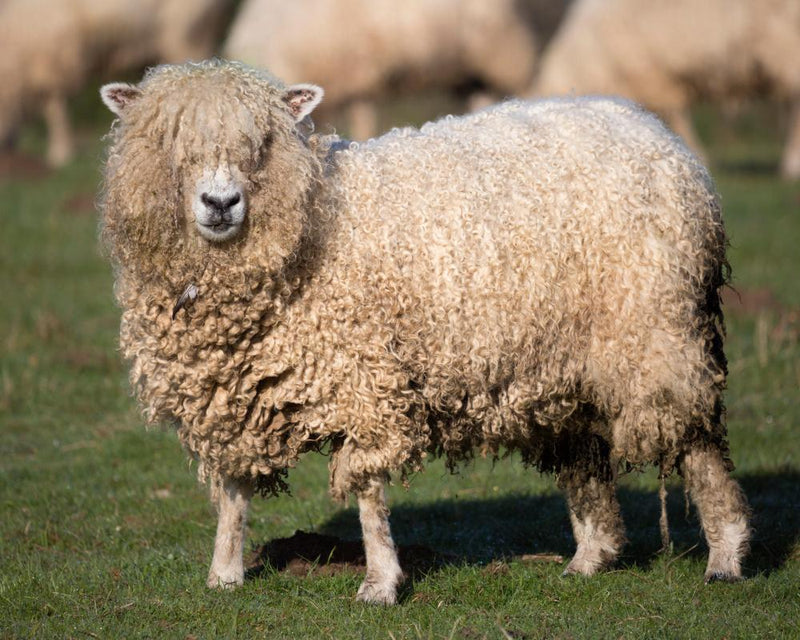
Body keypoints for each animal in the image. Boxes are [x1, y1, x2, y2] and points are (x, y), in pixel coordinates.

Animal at [99, 59, 750, 604]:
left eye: (262, 145)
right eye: (167, 144)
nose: (220, 202)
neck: (311, 220)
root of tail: (654, 131)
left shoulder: (362, 378)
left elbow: (366, 489)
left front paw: (379, 584)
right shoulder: (229, 392)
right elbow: (234, 489)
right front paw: (224, 574)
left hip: (656, 331)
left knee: (698, 440)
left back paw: (725, 556)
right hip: (566, 360)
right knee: (586, 453)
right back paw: (590, 558)